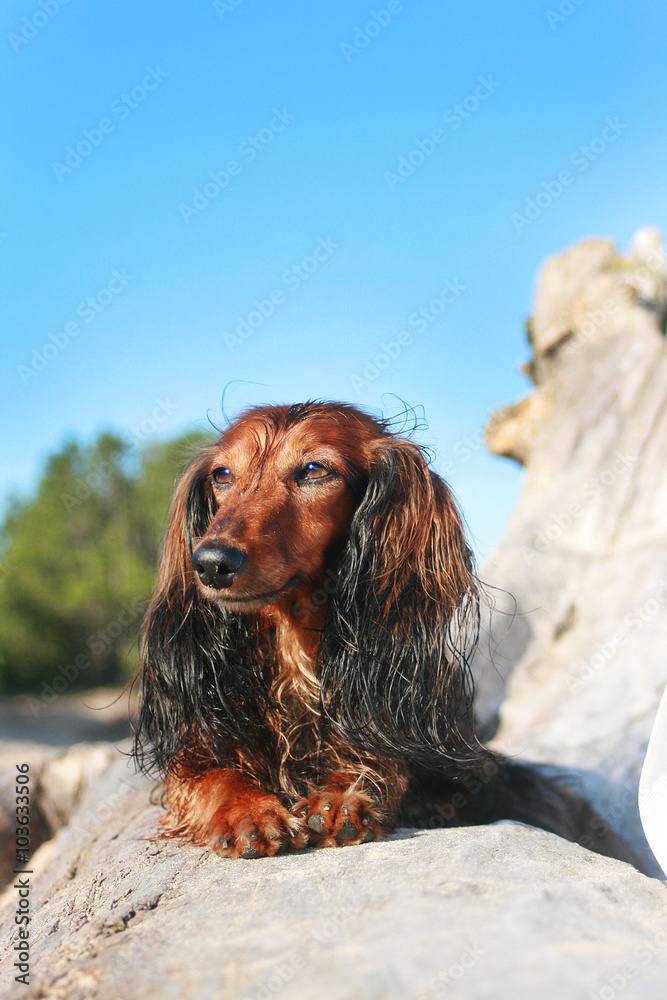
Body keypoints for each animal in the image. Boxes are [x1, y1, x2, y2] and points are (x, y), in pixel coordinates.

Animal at [133, 402, 640, 864]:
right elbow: (211, 777)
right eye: (222, 474)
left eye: (313, 469)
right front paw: (247, 812)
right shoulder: (199, 743)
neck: (294, 650)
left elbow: (379, 763)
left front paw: (340, 798)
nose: (211, 562)